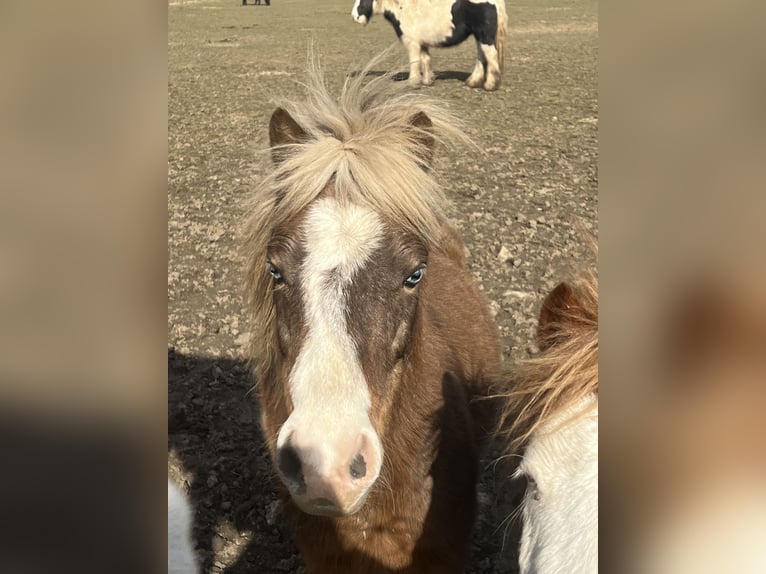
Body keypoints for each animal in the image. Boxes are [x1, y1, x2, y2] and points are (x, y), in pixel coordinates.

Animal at [351, 0, 507, 91]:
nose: (354, 17)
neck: (402, 8)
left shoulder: (413, 43)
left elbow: (414, 61)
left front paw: (413, 83)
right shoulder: (422, 43)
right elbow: (425, 59)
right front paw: (427, 81)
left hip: (485, 37)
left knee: (491, 56)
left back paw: (490, 85)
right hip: (478, 36)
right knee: (481, 56)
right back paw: (473, 82)